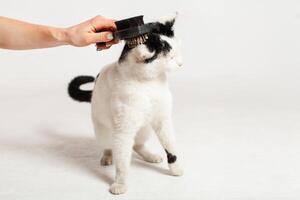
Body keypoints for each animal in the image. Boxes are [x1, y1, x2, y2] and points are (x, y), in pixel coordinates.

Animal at [68, 13, 183, 195]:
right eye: (171, 58)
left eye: (179, 52)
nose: (181, 63)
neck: (150, 84)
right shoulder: (123, 130)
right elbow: (122, 161)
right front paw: (120, 184)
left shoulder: (163, 120)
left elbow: (171, 147)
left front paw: (176, 168)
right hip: (104, 130)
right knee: (109, 145)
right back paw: (107, 157)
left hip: (145, 128)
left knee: (137, 144)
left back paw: (150, 156)